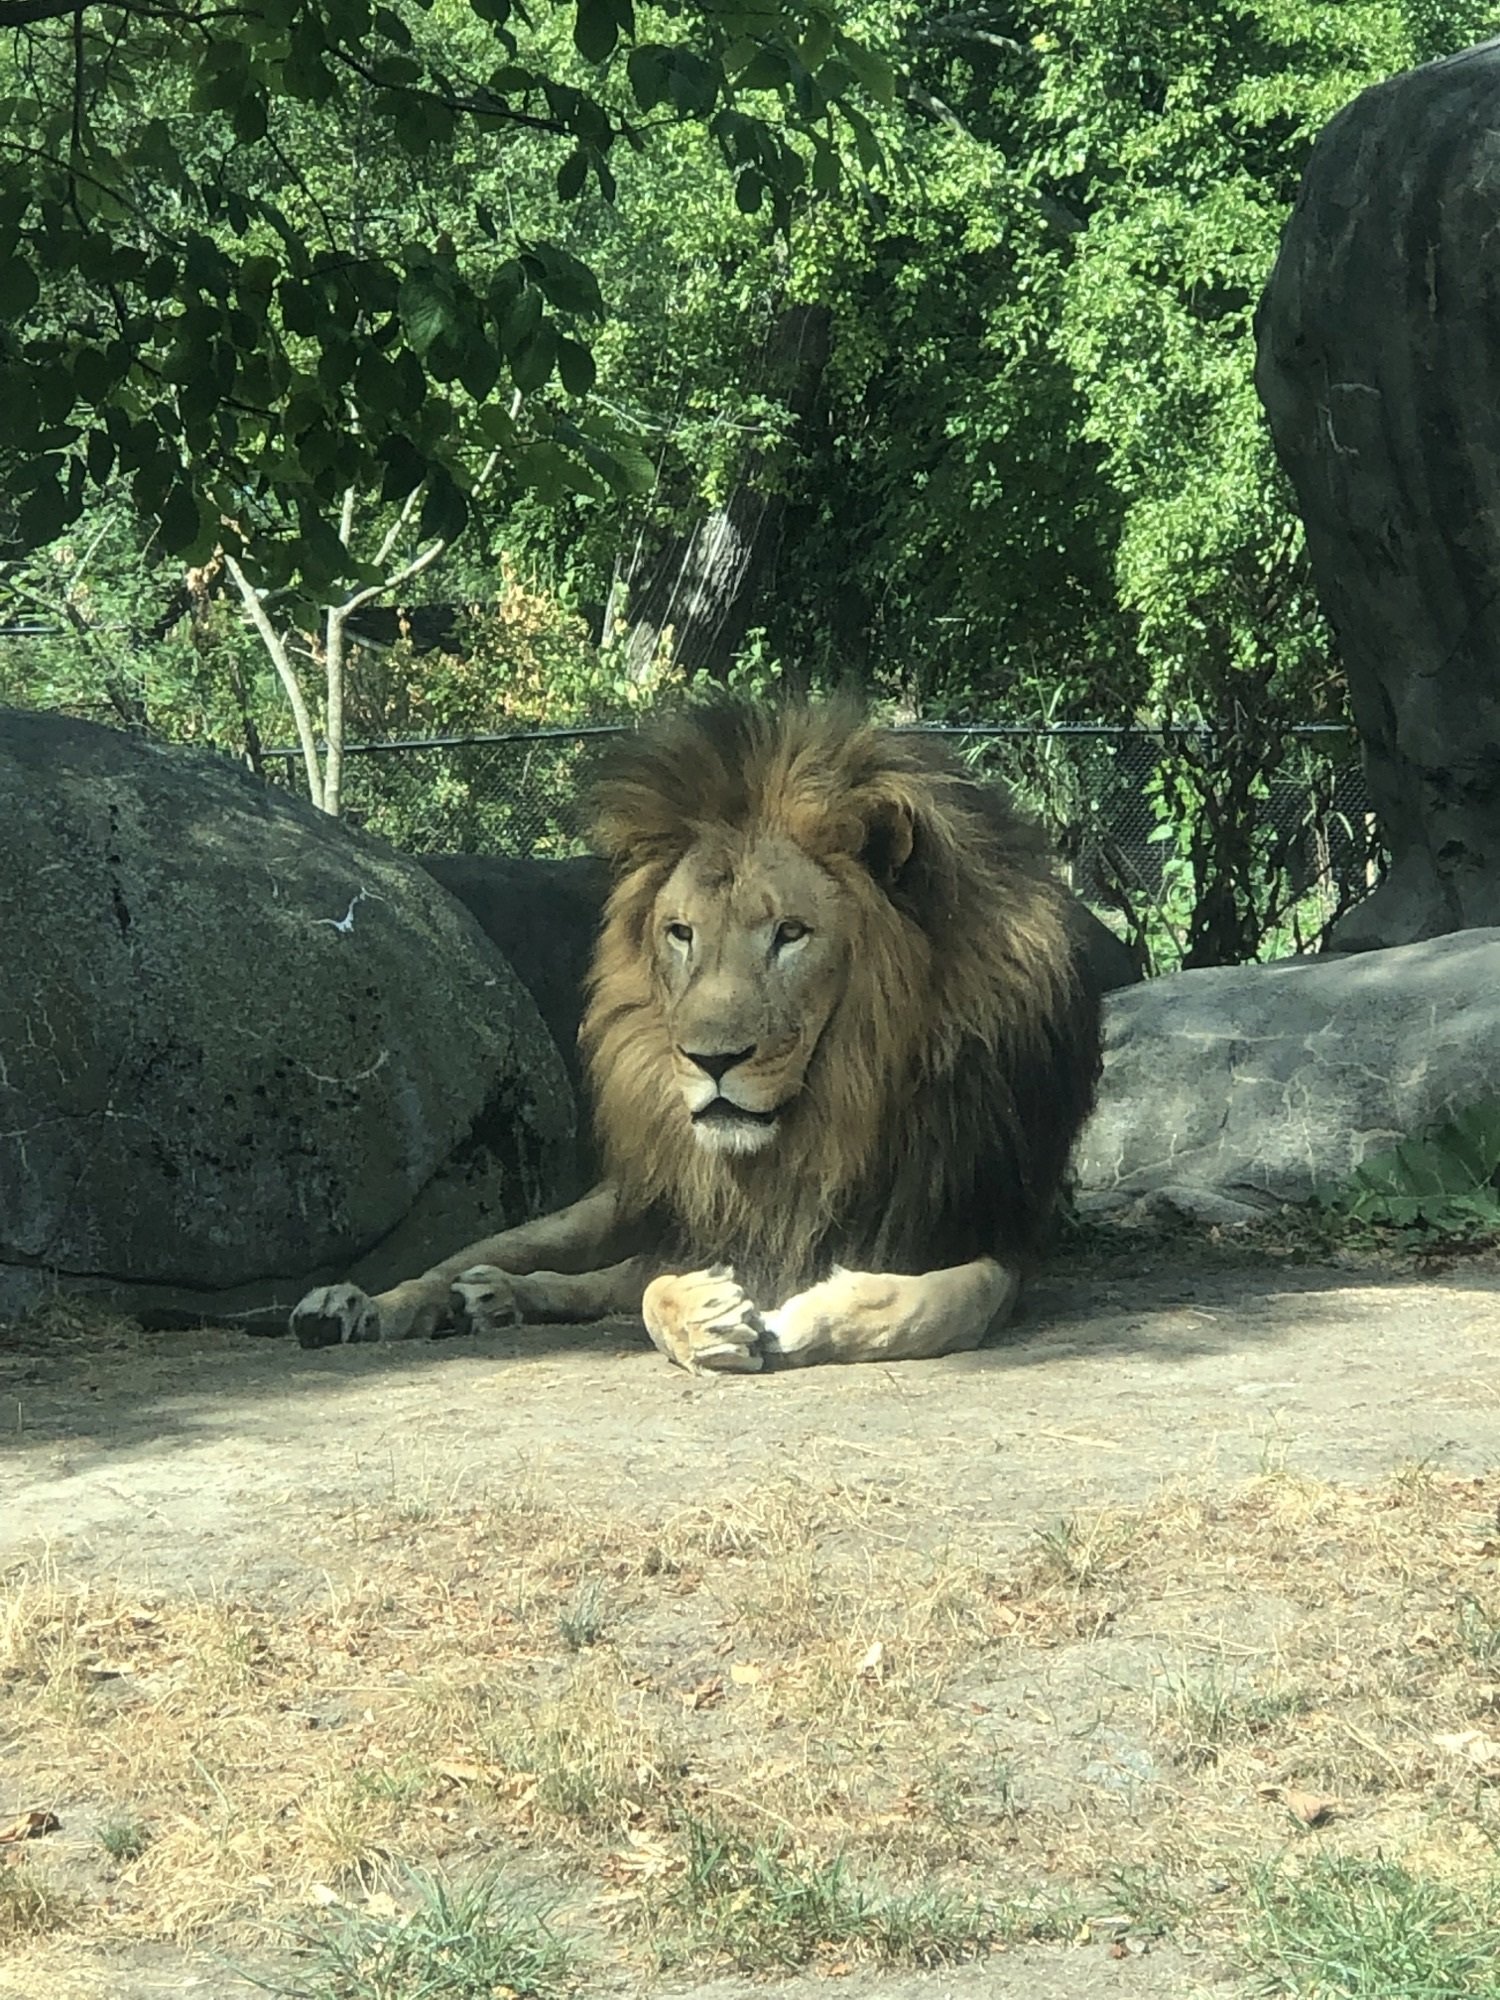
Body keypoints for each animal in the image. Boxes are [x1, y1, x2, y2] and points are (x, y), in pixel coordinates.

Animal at [291, 700, 1103, 1372]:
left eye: (790, 934)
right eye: (681, 933)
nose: (712, 1061)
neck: (839, 1110)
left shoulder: (983, 1229)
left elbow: (923, 1305)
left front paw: (791, 1319)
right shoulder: (706, 1223)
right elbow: (653, 1292)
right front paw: (707, 1318)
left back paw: (495, 1298)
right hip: (612, 1201)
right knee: (484, 1258)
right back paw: (353, 1307)